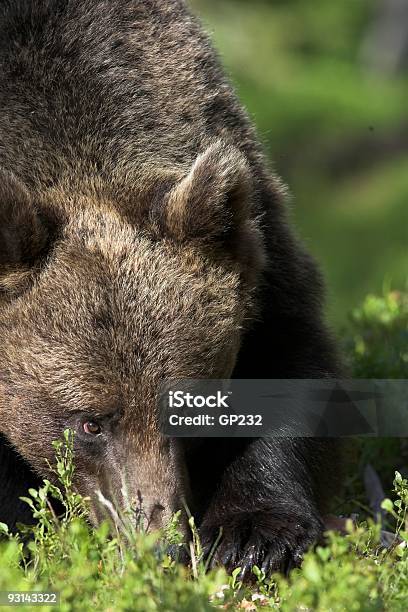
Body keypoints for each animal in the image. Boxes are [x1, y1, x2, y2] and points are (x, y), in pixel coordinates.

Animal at [0, 0, 342, 572]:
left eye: (192, 404)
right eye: (90, 423)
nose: (159, 545)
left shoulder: (257, 244)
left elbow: (289, 354)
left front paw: (253, 535)